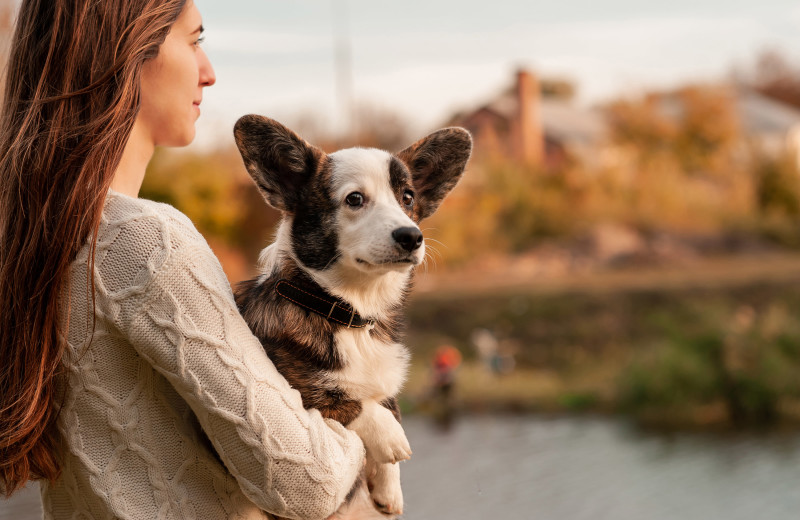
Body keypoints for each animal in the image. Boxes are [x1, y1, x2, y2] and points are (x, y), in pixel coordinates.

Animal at [231, 114, 468, 516]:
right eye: (354, 199)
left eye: (408, 198)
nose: (411, 236)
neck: (352, 314)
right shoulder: (290, 391)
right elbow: (349, 401)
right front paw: (391, 440)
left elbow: (387, 401)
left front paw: (388, 489)